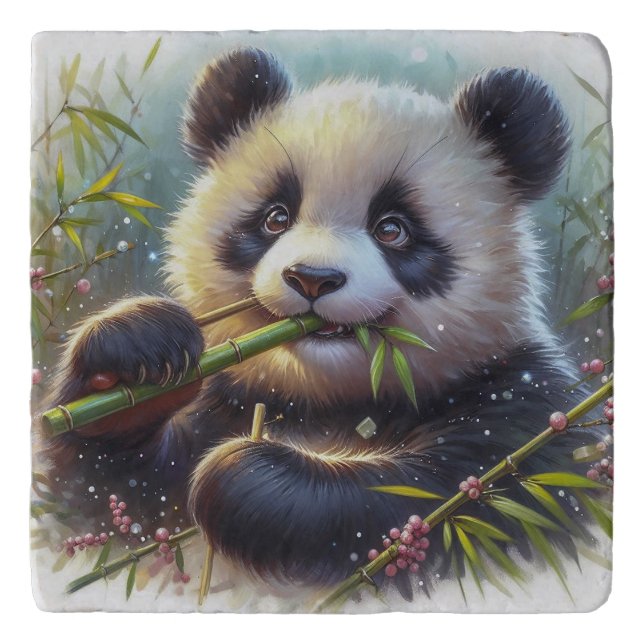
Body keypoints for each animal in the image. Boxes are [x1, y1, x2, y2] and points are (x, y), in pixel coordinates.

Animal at [44, 47, 589, 600]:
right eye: (275, 218)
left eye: (393, 229)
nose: (312, 279)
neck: (327, 399)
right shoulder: (227, 401)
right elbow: (107, 499)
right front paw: (134, 355)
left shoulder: (521, 410)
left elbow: (447, 505)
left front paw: (245, 476)